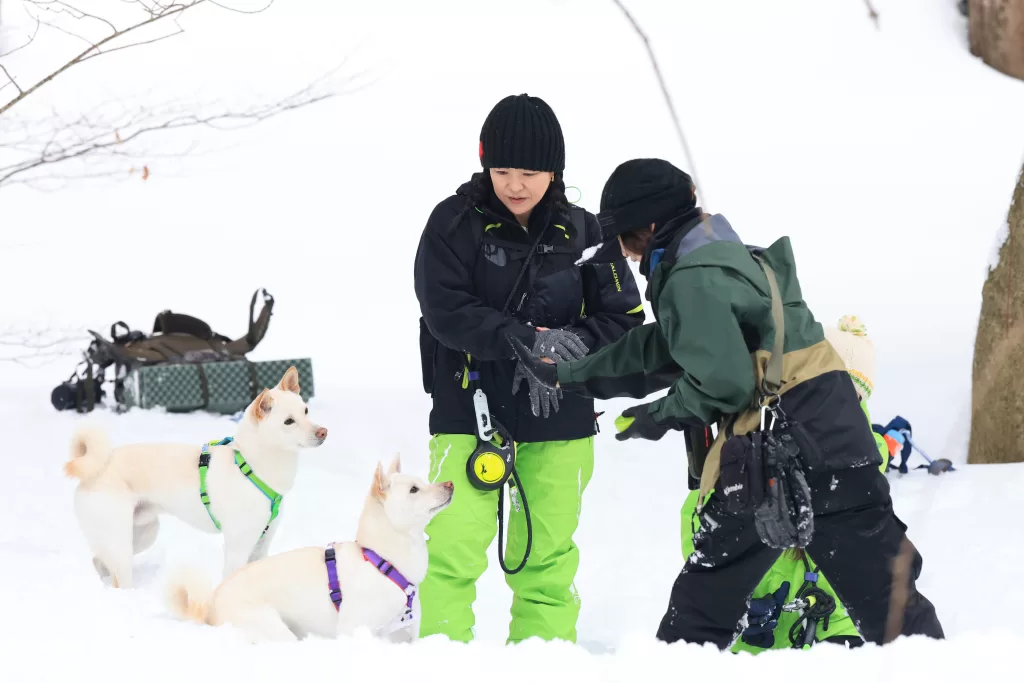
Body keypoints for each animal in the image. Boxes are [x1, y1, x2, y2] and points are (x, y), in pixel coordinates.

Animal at [64, 366, 327, 589]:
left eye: (305, 411)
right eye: (289, 421)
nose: (323, 432)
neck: (250, 465)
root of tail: (96, 468)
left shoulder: (262, 542)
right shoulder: (238, 545)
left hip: (143, 533)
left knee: (99, 560)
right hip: (119, 541)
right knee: (117, 575)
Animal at [165, 453, 453, 644]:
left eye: (422, 481)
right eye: (414, 489)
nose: (450, 484)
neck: (381, 561)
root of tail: (209, 606)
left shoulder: (407, 634)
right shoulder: (354, 630)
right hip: (275, 631)